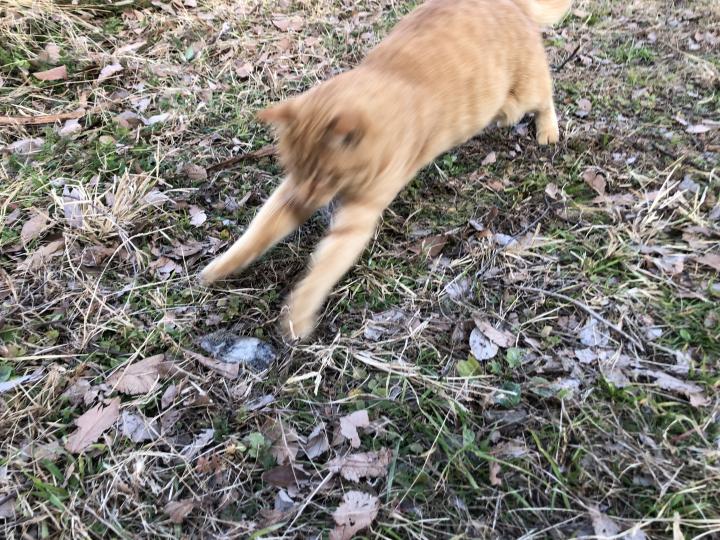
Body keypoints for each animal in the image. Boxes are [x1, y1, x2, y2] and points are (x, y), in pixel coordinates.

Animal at [200, 0, 571, 340]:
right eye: (297, 170)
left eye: (326, 176)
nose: (302, 204)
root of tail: (510, 3)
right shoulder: (290, 192)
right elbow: (258, 232)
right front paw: (223, 266)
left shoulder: (355, 220)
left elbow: (320, 272)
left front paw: (299, 315)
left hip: (520, 97)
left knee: (545, 97)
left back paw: (547, 130)